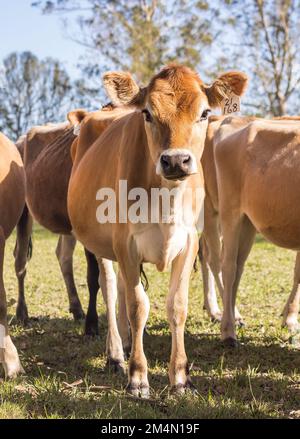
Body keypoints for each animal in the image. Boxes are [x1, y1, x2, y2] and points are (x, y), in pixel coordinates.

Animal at [68, 64, 248, 396]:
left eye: (205, 113)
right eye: (147, 114)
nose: (176, 160)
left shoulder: (188, 243)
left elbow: (177, 307)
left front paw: (180, 377)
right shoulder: (125, 244)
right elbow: (138, 307)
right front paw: (138, 377)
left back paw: (127, 344)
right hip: (101, 244)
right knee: (110, 288)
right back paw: (116, 354)